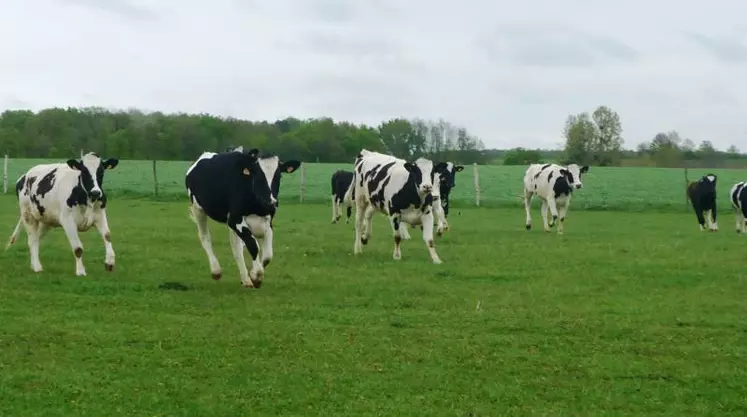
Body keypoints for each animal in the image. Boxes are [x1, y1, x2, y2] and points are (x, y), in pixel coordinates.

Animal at [186, 148, 300, 288]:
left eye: (279, 176)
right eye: (258, 175)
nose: (271, 202)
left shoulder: (268, 223)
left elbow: (268, 255)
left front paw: (253, 275)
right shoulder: (235, 220)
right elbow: (253, 245)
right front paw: (256, 275)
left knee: (236, 247)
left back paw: (245, 280)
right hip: (198, 209)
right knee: (205, 237)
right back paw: (216, 270)